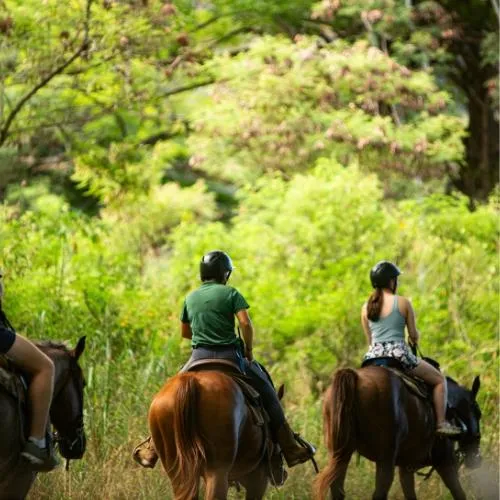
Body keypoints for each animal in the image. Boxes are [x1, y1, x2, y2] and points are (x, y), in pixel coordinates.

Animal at [314, 364, 482, 500]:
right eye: (479, 413)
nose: (476, 459)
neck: (451, 407)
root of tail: (354, 377)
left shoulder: (406, 467)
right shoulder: (445, 461)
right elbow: (459, 493)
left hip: (340, 454)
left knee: (337, 489)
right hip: (385, 459)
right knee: (379, 493)